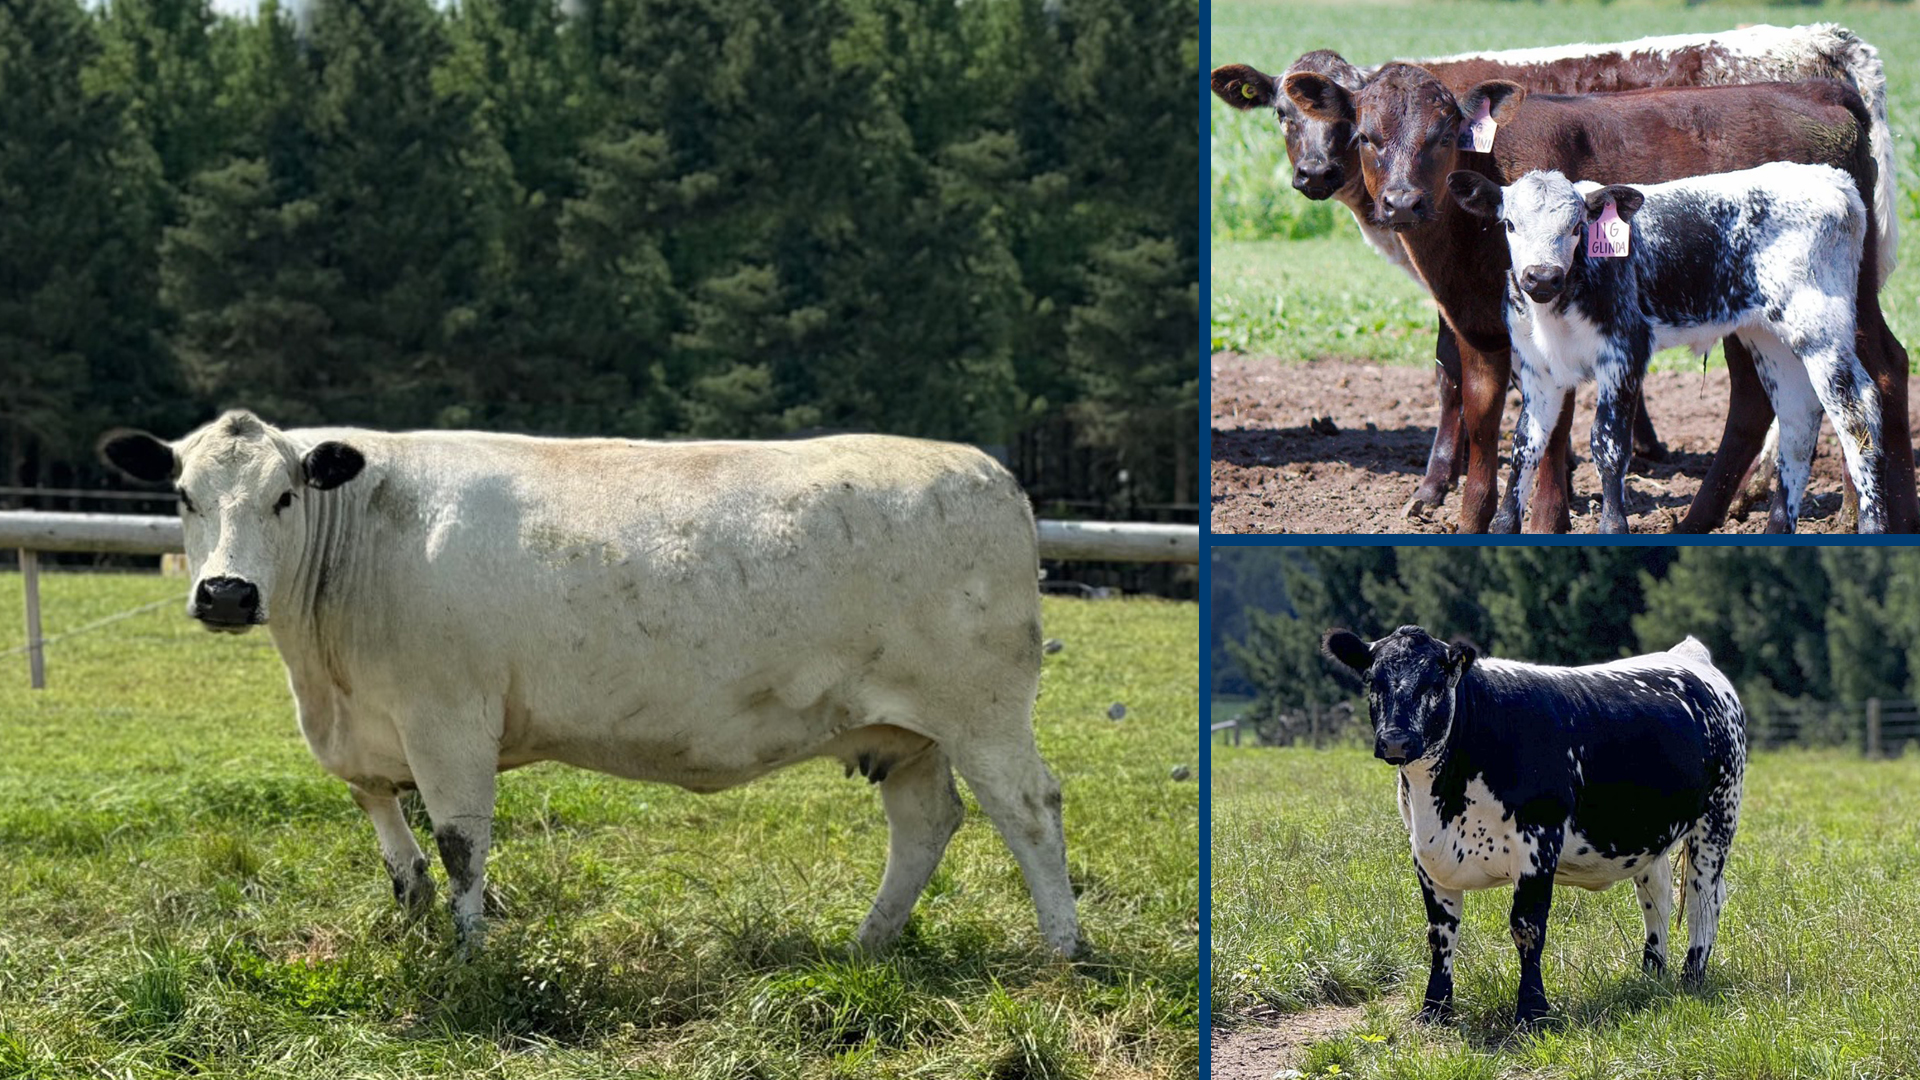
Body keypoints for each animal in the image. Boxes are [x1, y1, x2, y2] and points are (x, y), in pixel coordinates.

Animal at [98, 411, 1083, 958]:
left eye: (286, 496)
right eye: (183, 496)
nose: (227, 592)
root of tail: (987, 469)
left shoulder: (449, 720)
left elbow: (459, 843)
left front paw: (469, 956)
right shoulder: (367, 736)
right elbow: (396, 848)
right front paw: (413, 928)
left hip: (985, 711)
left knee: (1029, 811)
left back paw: (1065, 952)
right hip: (906, 731)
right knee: (926, 825)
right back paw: (865, 947)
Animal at [1321, 625, 1746, 1026]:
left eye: (1435, 683)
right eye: (1373, 681)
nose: (1395, 740)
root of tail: (1688, 655)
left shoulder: (1539, 845)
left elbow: (1527, 929)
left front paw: (1531, 1012)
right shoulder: (1427, 856)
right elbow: (1440, 934)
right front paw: (1435, 1009)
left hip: (1717, 818)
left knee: (1703, 899)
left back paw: (1691, 979)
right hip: (1649, 836)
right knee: (1657, 897)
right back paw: (1650, 977)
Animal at [1450, 163, 1883, 534]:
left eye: (1576, 226)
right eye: (1510, 224)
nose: (1541, 277)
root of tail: (1832, 179)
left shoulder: (1624, 354)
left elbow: (1608, 444)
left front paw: (1613, 527)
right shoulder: (1536, 368)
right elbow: (1526, 444)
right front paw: (1503, 525)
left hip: (1822, 332)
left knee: (1857, 417)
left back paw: (1873, 524)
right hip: (1771, 338)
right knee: (1798, 422)